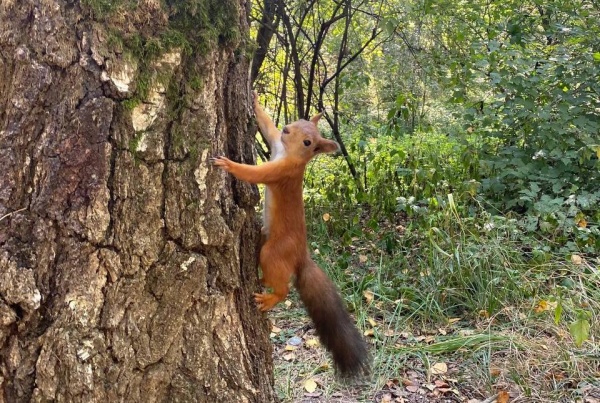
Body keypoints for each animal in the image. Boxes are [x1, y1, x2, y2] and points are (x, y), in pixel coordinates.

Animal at [211, 93, 370, 378]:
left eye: (308, 142)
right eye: (298, 121)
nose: (286, 129)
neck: (288, 153)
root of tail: (301, 256)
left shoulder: (280, 173)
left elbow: (253, 173)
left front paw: (228, 164)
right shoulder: (275, 143)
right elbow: (267, 126)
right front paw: (254, 101)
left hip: (275, 250)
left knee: (284, 288)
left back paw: (271, 297)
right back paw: (263, 279)